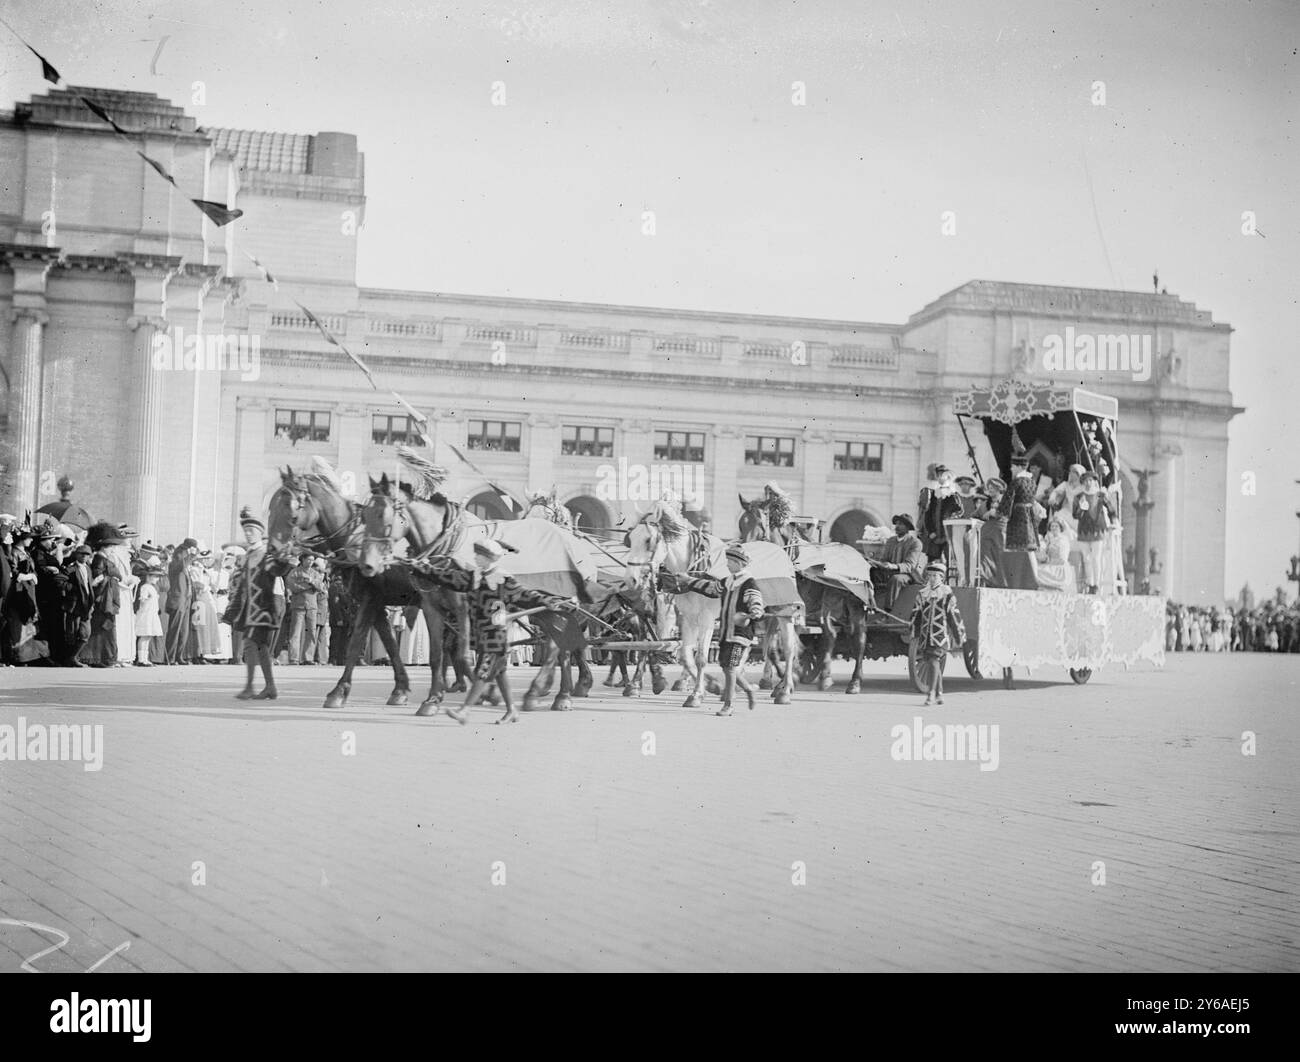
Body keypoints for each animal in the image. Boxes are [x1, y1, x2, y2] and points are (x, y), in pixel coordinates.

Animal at [265, 467, 473, 707]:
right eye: (271, 507)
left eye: (292, 513)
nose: (273, 551)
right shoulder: (378, 602)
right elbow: (390, 644)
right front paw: (400, 688)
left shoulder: (369, 599)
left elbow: (356, 641)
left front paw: (339, 691)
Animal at [618, 504, 722, 707]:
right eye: (630, 539)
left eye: (648, 540)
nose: (630, 579)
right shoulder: (688, 617)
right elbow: (685, 655)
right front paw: (709, 686)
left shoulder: (706, 618)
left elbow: (700, 658)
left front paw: (698, 693)